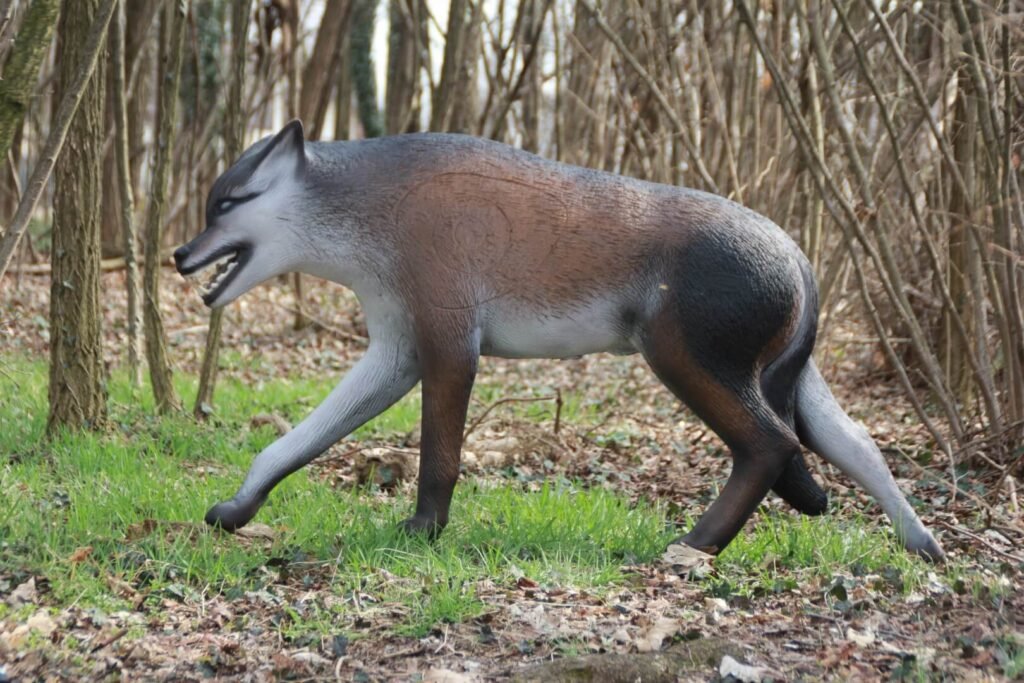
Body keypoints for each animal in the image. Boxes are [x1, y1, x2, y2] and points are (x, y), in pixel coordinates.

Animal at [174, 120, 944, 561]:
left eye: (227, 203)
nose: (180, 254)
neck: (375, 208)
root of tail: (798, 255)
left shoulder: (449, 347)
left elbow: (440, 459)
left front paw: (424, 532)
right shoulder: (396, 353)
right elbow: (291, 444)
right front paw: (236, 510)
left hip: (683, 360)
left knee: (770, 446)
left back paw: (695, 547)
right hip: (790, 380)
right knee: (859, 448)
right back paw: (924, 548)